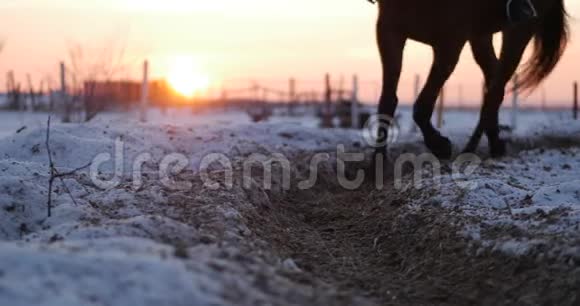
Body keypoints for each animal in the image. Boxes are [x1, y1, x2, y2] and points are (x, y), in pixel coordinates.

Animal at [374, 0, 568, 158]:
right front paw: (379, 160)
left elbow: (422, 105)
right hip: (481, 35)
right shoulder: (389, 31)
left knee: (494, 90)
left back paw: (471, 149)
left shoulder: (451, 42)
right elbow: (387, 100)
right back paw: (494, 144)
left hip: (520, 30)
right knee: (494, 82)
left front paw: (440, 146)